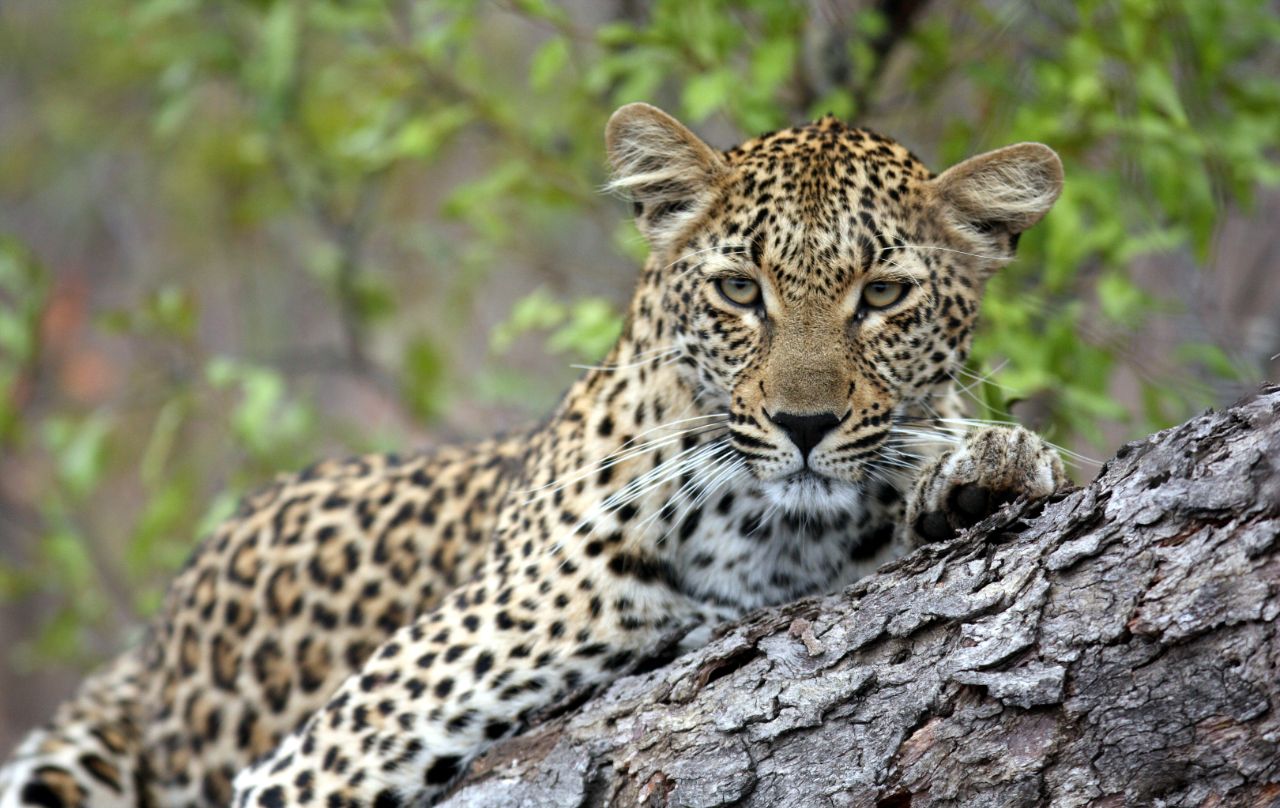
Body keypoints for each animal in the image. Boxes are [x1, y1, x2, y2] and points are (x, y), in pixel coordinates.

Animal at [0, 102, 1067, 808]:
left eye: (883, 295)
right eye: (740, 290)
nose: (804, 424)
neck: (774, 538)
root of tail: (146, 653)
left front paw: (992, 464)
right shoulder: (320, 761)